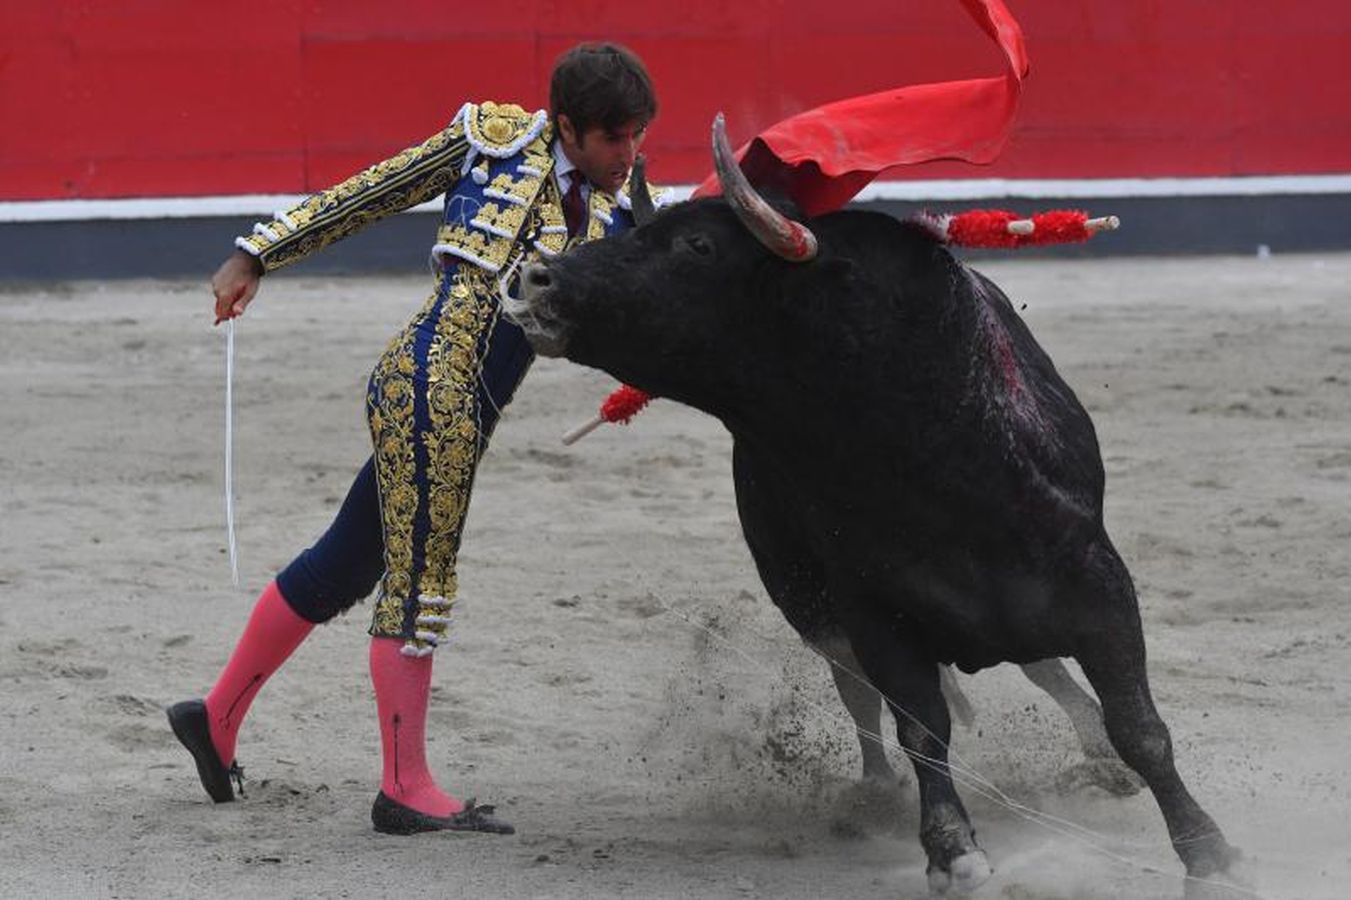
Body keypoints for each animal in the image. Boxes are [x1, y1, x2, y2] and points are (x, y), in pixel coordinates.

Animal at [505, 120, 1237, 891]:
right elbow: (919, 725)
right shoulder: (872, 612)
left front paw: (1209, 853)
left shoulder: (1100, 588)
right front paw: (952, 851)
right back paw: (876, 792)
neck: (927, 461)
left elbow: (1140, 728)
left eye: (697, 246)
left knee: (1045, 671)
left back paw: (1094, 757)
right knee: (856, 689)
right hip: (804, 596)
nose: (537, 277)